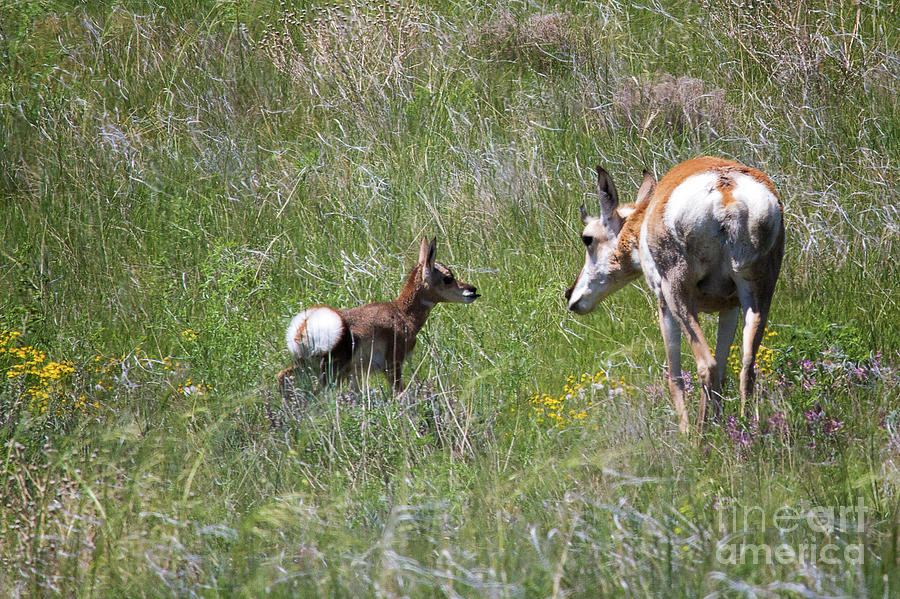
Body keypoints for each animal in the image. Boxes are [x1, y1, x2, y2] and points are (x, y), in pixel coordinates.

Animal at [280, 237, 478, 396]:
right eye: (448, 278)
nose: (473, 290)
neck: (401, 313)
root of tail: (305, 324)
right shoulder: (393, 364)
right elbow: (400, 393)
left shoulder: (357, 373)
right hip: (330, 371)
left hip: (308, 365)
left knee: (283, 376)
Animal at [568, 157, 784, 434]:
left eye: (587, 239)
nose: (571, 296)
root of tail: (725, 188)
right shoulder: (729, 307)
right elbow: (724, 369)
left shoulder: (664, 303)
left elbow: (675, 377)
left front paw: (686, 433)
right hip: (758, 294)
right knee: (746, 367)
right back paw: (746, 430)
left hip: (678, 295)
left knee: (706, 366)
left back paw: (698, 438)